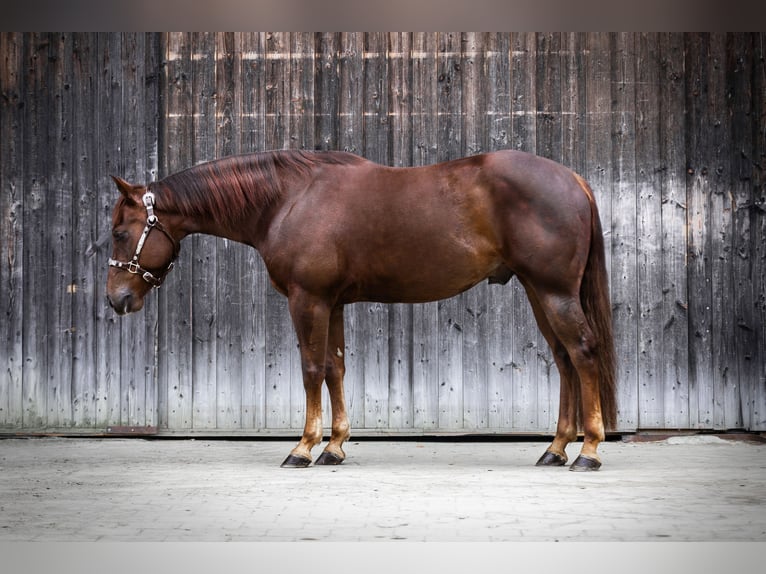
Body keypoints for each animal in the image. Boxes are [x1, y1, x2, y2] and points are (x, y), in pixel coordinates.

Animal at [105, 150, 616, 472]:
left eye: (119, 232)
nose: (116, 299)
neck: (288, 199)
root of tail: (574, 180)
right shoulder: (331, 303)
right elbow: (335, 368)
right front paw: (334, 447)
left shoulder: (307, 298)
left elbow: (312, 369)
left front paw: (304, 448)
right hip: (537, 290)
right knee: (564, 359)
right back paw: (555, 449)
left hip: (553, 291)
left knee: (583, 353)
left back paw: (589, 451)